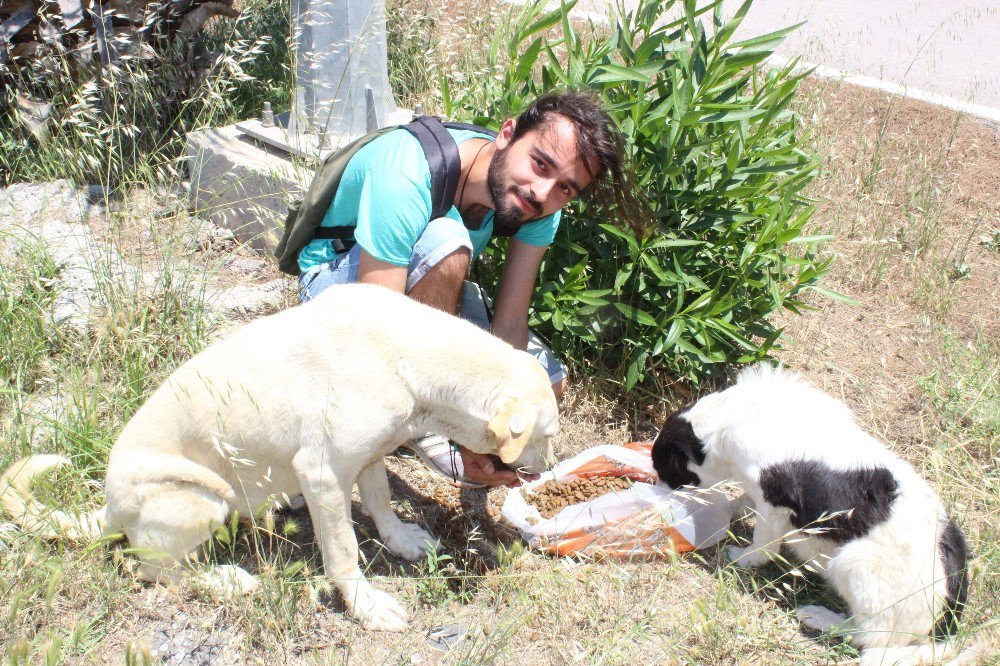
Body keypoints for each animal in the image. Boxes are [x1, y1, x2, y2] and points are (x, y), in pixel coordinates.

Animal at [0, 282, 560, 632]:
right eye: (547, 434)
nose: (550, 470)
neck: (405, 357)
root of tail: (108, 507)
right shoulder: (324, 475)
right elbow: (344, 552)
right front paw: (365, 606)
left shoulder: (368, 456)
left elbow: (381, 503)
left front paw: (401, 541)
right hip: (202, 500)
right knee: (155, 569)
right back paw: (222, 579)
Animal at [648, 366, 968, 660]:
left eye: (666, 469)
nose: (658, 494)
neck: (733, 415)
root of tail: (948, 619)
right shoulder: (759, 491)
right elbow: (743, 501)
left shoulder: (774, 503)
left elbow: (763, 544)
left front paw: (744, 558)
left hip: (851, 562)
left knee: (866, 635)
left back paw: (821, 617)